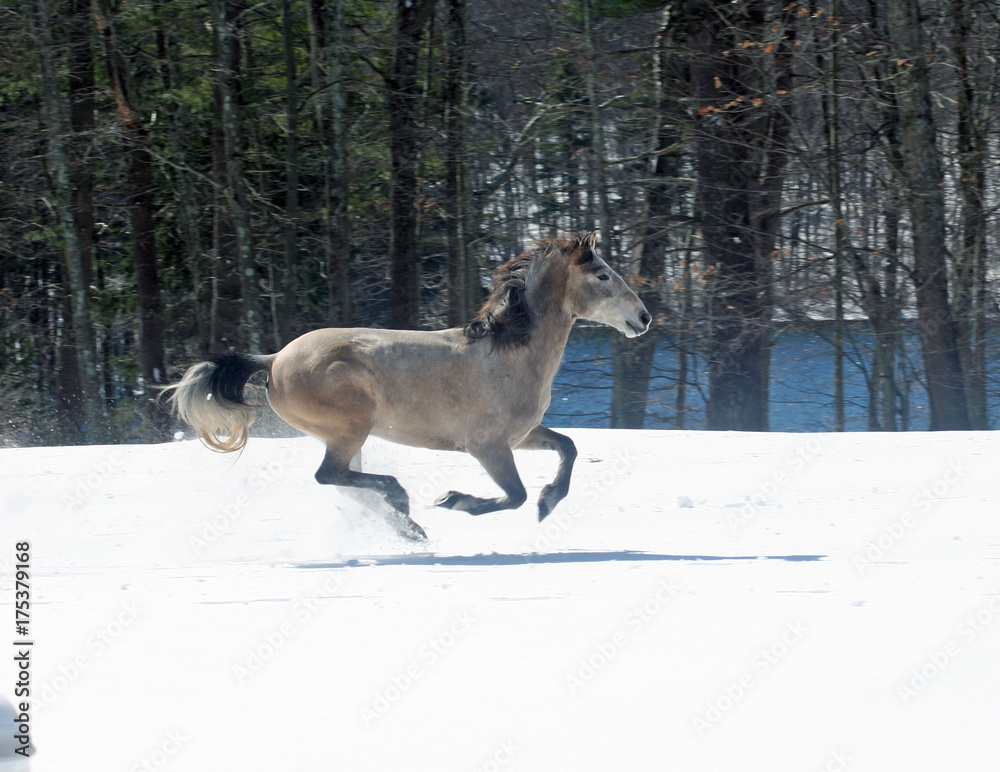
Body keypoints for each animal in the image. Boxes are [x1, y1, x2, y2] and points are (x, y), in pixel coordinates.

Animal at [165, 233, 651, 541]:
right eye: (603, 275)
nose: (643, 318)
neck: (510, 354)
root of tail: (273, 360)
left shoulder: (523, 435)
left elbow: (568, 447)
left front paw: (549, 501)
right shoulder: (489, 446)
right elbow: (514, 495)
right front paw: (455, 500)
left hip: (346, 436)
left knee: (344, 483)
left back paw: (409, 528)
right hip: (350, 428)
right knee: (331, 476)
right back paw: (403, 503)